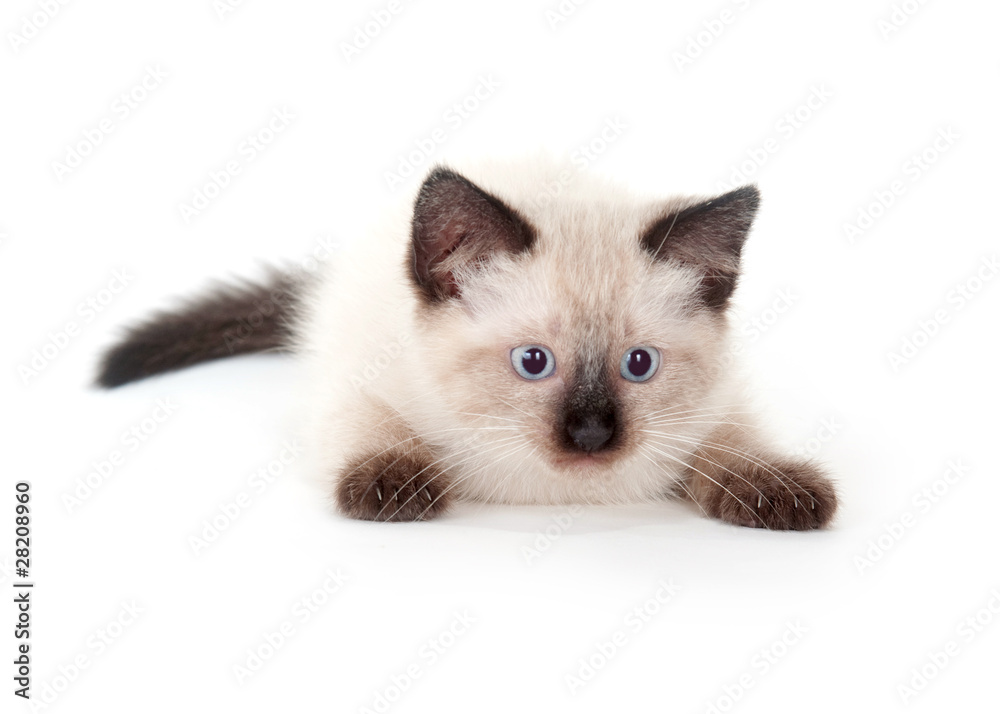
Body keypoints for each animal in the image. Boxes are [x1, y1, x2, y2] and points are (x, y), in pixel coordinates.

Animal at [99, 161, 836, 528]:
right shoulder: (359, 387)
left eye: (639, 365)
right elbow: (377, 432)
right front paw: (393, 486)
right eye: (533, 363)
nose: (592, 434)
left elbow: (737, 445)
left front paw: (780, 490)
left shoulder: (719, 406)